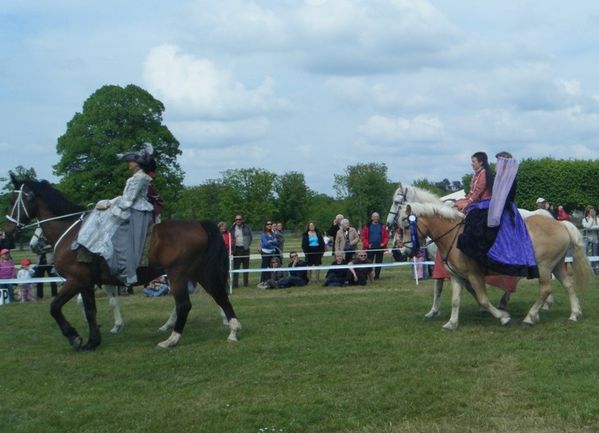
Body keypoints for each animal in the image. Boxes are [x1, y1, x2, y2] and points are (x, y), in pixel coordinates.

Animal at [2, 177, 241, 350]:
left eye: (14, 201)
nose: (7, 231)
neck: (71, 233)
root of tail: (198, 224)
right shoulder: (88, 283)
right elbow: (91, 309)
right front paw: (94, 339)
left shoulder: (76, 279)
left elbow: (55, 307)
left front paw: (76, 338)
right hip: (199, 272)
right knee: (219, 296)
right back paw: (232, 330)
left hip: (178, 274)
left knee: (184, 304)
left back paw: (172, 339)